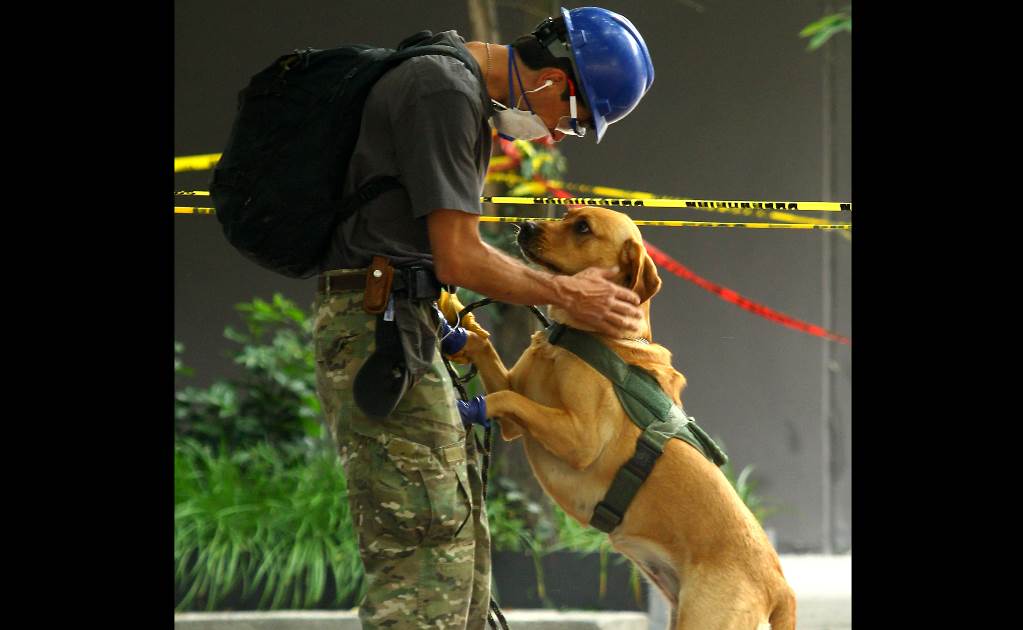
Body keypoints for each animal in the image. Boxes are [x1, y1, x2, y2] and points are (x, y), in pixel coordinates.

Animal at [464, 207, 797, 630]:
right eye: (567, 213)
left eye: (583, 228)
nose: (525, 225)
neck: (580, 336)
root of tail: (780, 583)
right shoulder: (514, 421)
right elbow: (489, 356)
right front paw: (458, 331)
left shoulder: (581, 440)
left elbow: (504, 397)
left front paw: (472, 406)